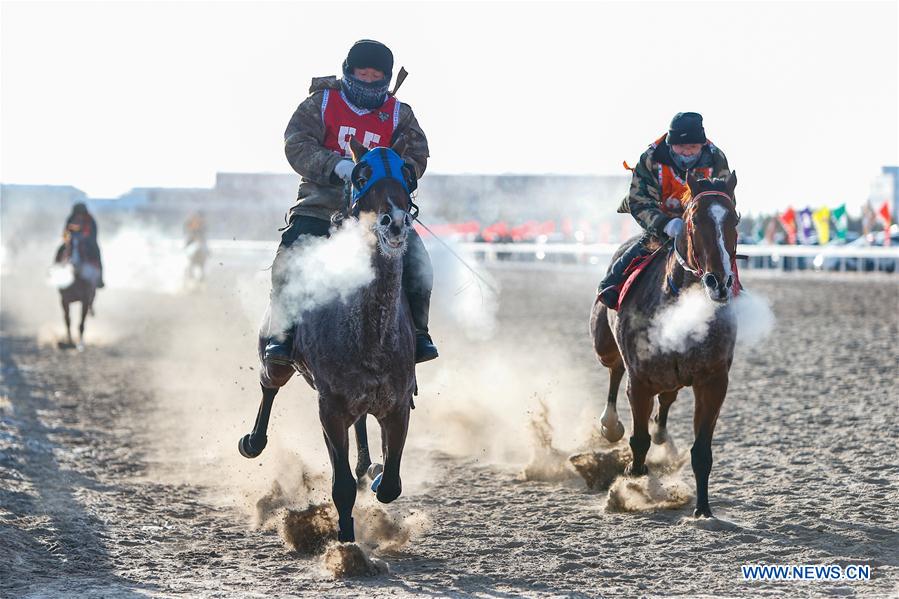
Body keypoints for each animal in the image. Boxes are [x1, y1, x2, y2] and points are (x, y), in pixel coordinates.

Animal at [239, 136, 422, 544]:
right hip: (275, 360)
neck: (370, 336)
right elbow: (341, 486)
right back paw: (253, 441)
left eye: (407, 172)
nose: (394, 221)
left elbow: (392, 483)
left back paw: (367, 465)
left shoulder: (398, 404)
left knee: (362, 427)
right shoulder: (331, 408)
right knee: (267, 384)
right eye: (362, 174)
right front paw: (346, 542)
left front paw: (377, 475)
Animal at [592, 171, 740, 516]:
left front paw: (703, 510)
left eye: (735, 218)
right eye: (695, 219)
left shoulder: (713, 381)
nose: (720, 282)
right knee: (614, 371)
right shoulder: (640, 380)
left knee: (667, 398)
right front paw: (633, 484)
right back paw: (610, 425)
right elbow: (638, 441)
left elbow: (701, 452)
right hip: (604, 345)